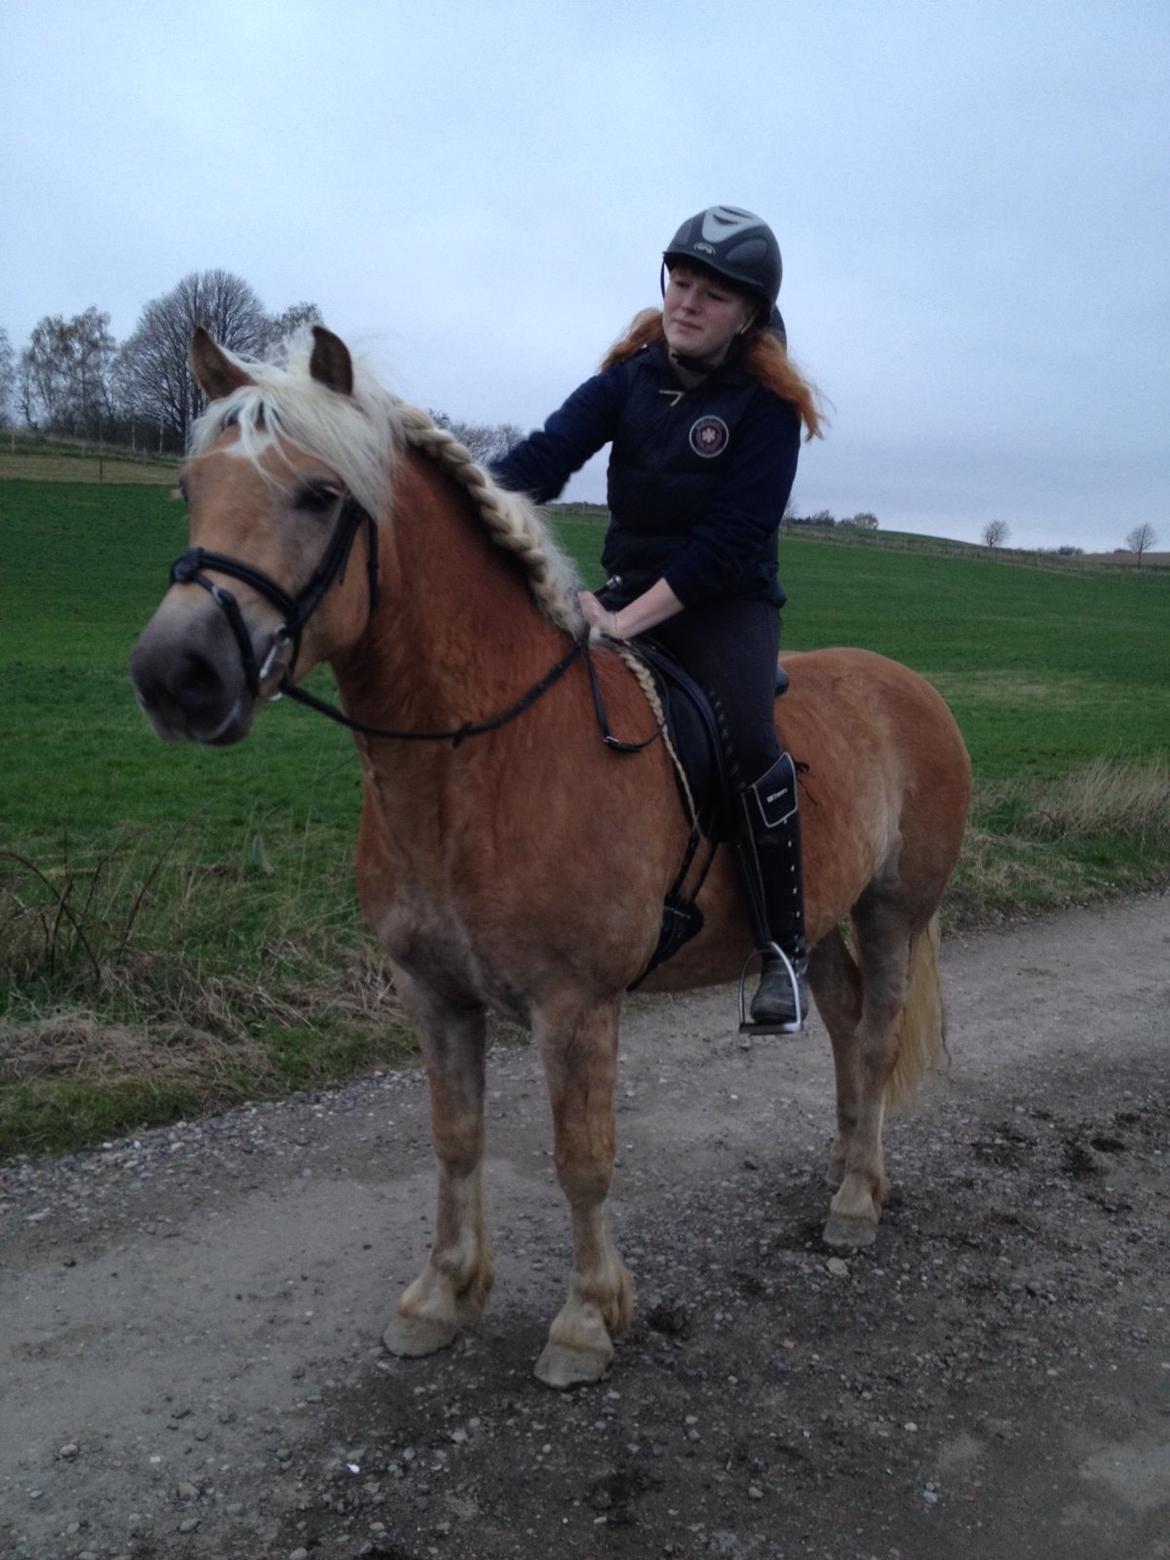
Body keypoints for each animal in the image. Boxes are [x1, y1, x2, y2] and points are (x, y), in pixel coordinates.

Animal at [127, 326, 973, 1391]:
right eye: (189, 487)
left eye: (319, 495)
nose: (175, 675)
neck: (477, 757)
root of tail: (910, 686)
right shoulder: (434, 992)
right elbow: (455, 1140)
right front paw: (440, 1296)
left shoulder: (576, 1006)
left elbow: (583, 1157)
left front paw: (583, 1321)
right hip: (816, 921)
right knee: (845, 1024)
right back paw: (847, 1163)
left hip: (894, 912)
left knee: (876, 1035)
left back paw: (857, 1199)